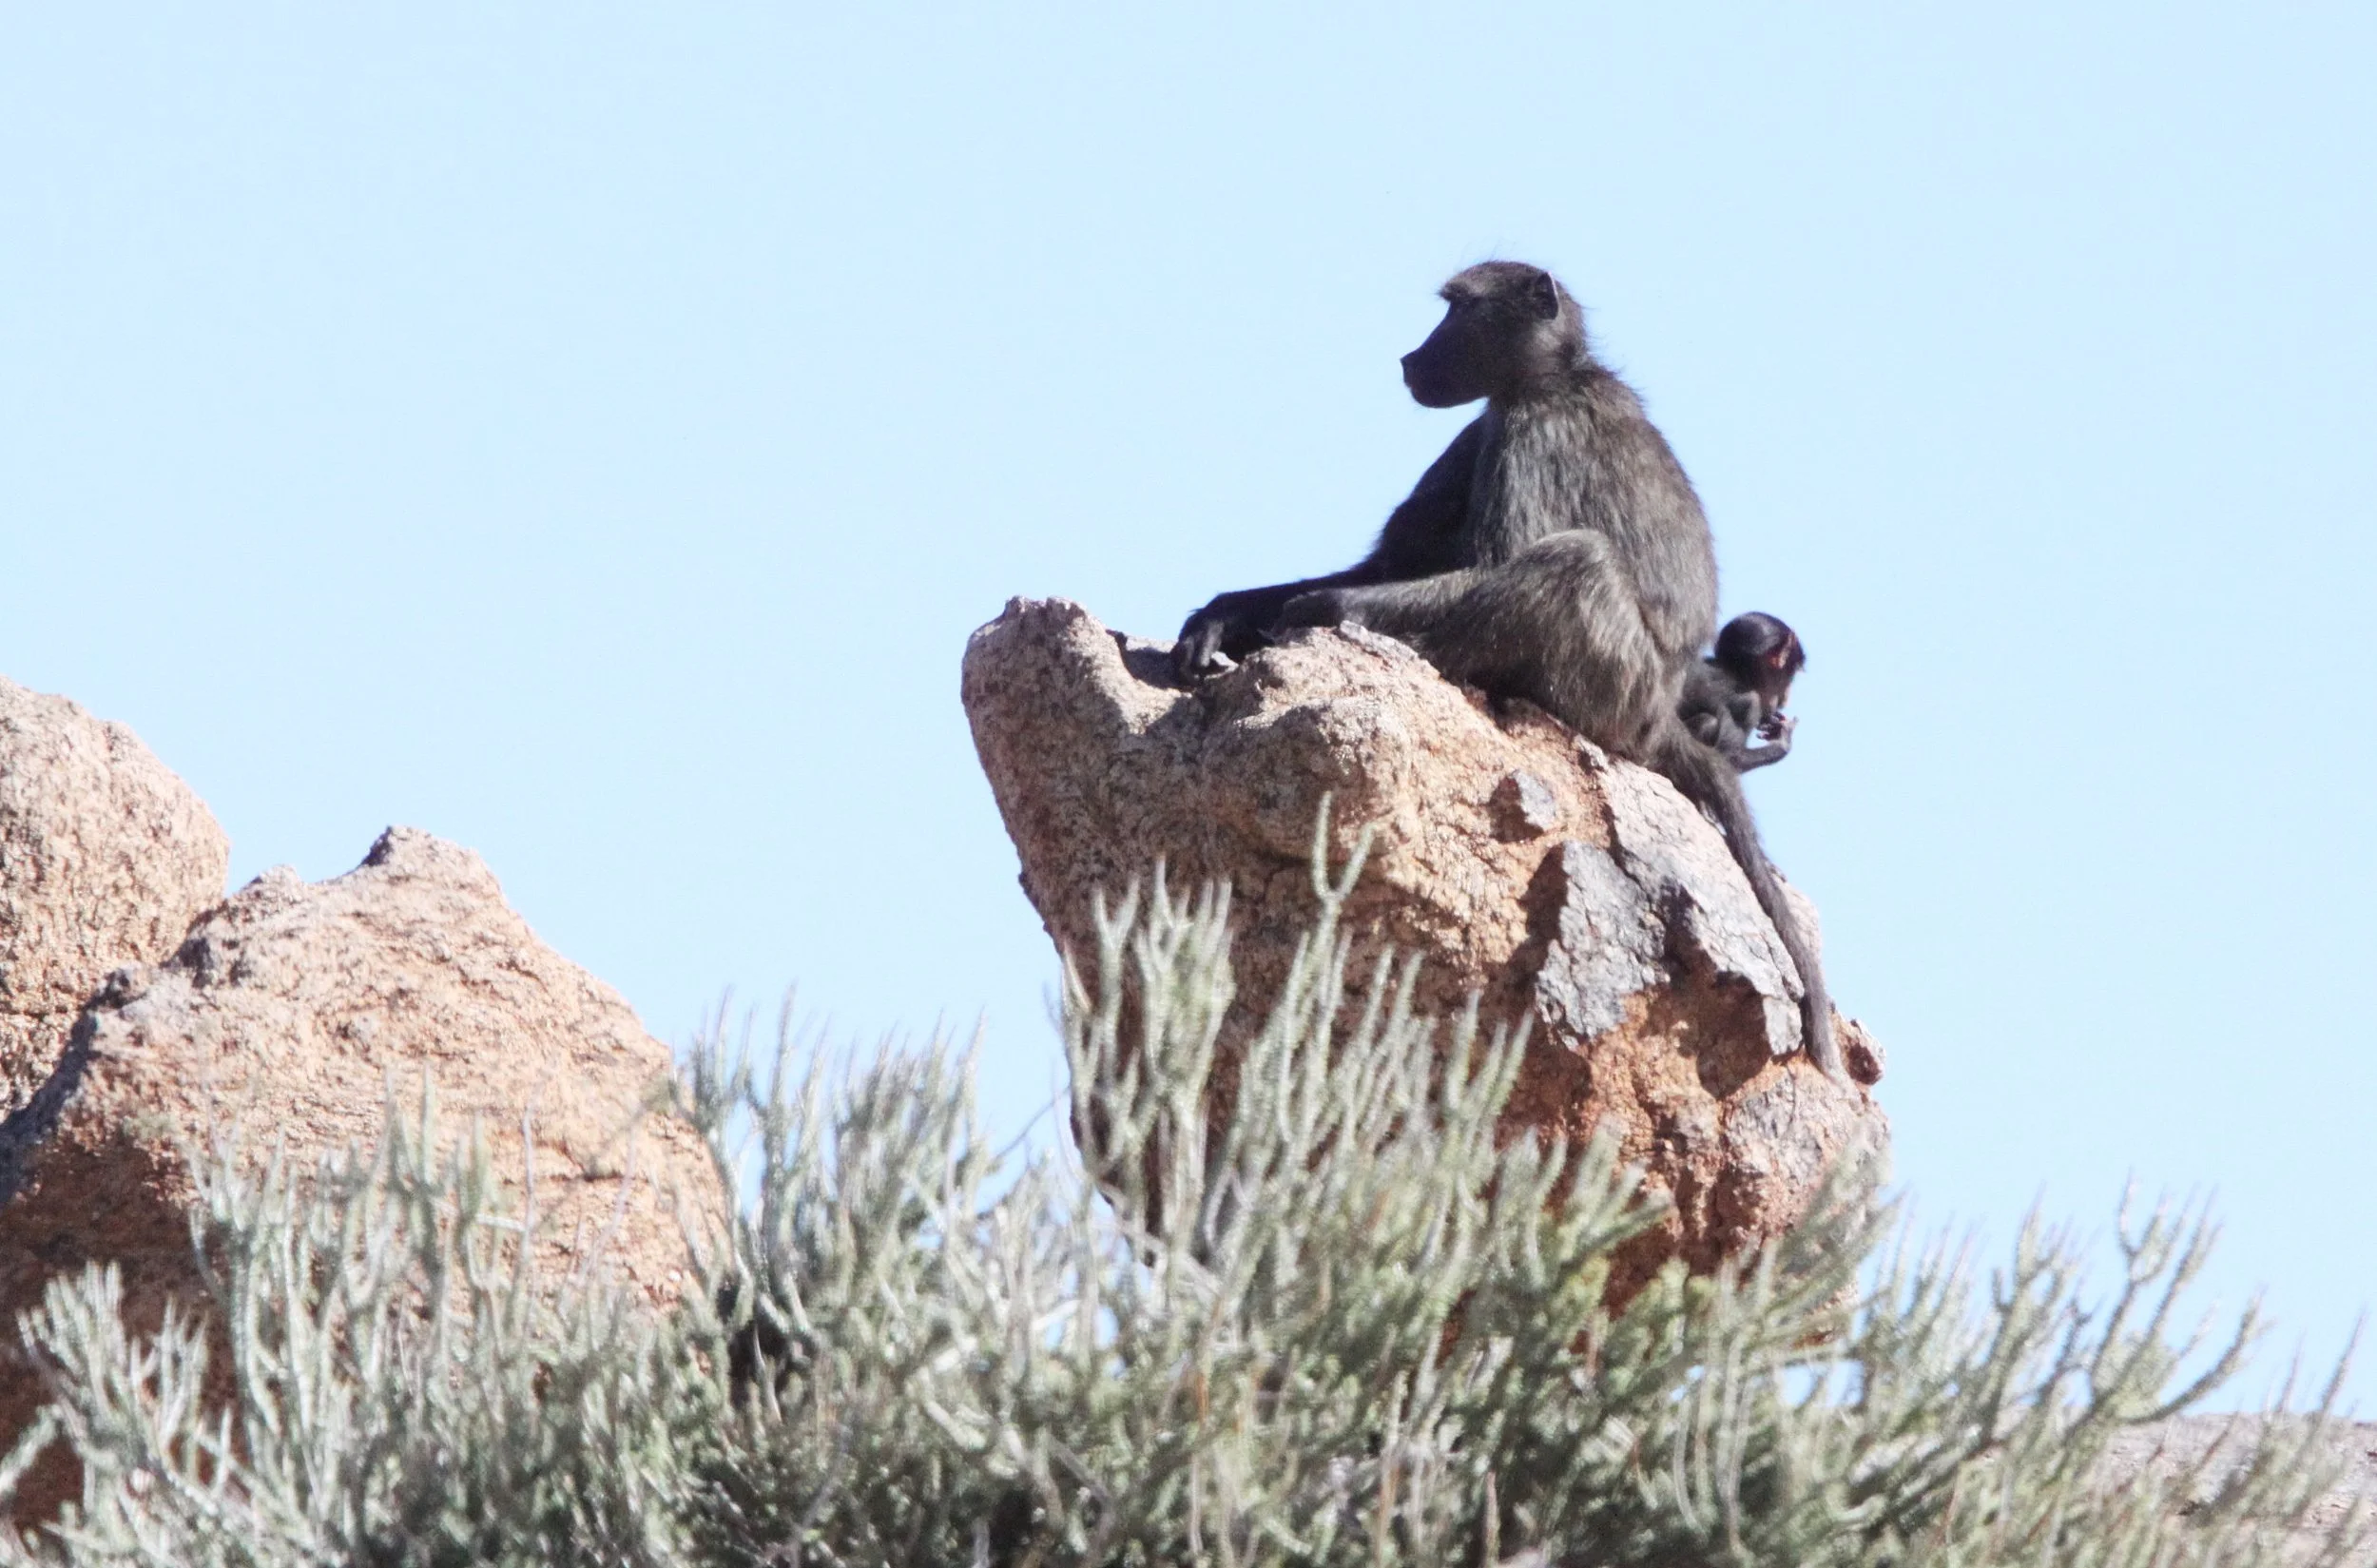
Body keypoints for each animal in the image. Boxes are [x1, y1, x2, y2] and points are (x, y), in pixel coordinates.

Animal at [1679, 612, 1805, 773]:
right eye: (1792, 675)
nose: (1786, 695)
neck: (1740, 674)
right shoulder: (1749, 704)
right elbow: (1730, 758)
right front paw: (1782, 741)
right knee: (1708, 722)